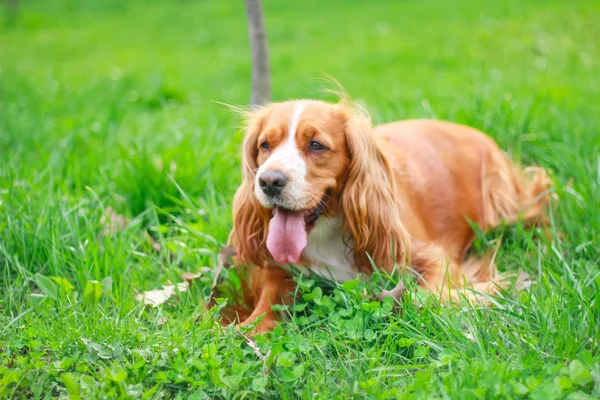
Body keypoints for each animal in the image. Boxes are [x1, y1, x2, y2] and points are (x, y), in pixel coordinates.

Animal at [226, 98, 552, 332]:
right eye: (265, 145)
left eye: (316, 145)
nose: (269, 181)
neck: (328, 230)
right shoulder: (281, 270)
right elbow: (266, 304)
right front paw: (247, 329)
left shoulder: (430, 255)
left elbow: (430, 294)